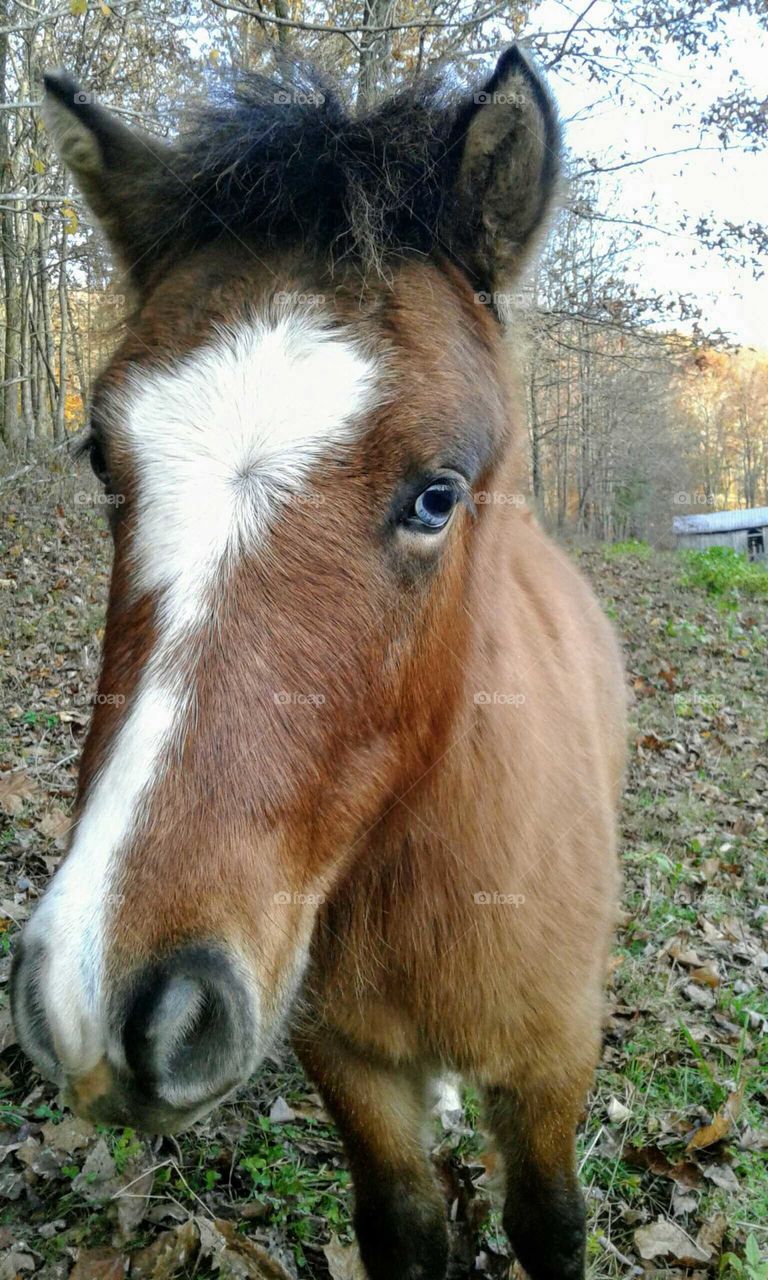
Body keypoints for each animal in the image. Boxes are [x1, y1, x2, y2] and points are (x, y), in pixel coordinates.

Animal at [12, 48, 626, 1280]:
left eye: (438, 495)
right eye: (102, 458)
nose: (105, 998)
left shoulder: (553, 1067)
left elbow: (551, 1221)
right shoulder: (349, 1063)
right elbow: (405, 1223)